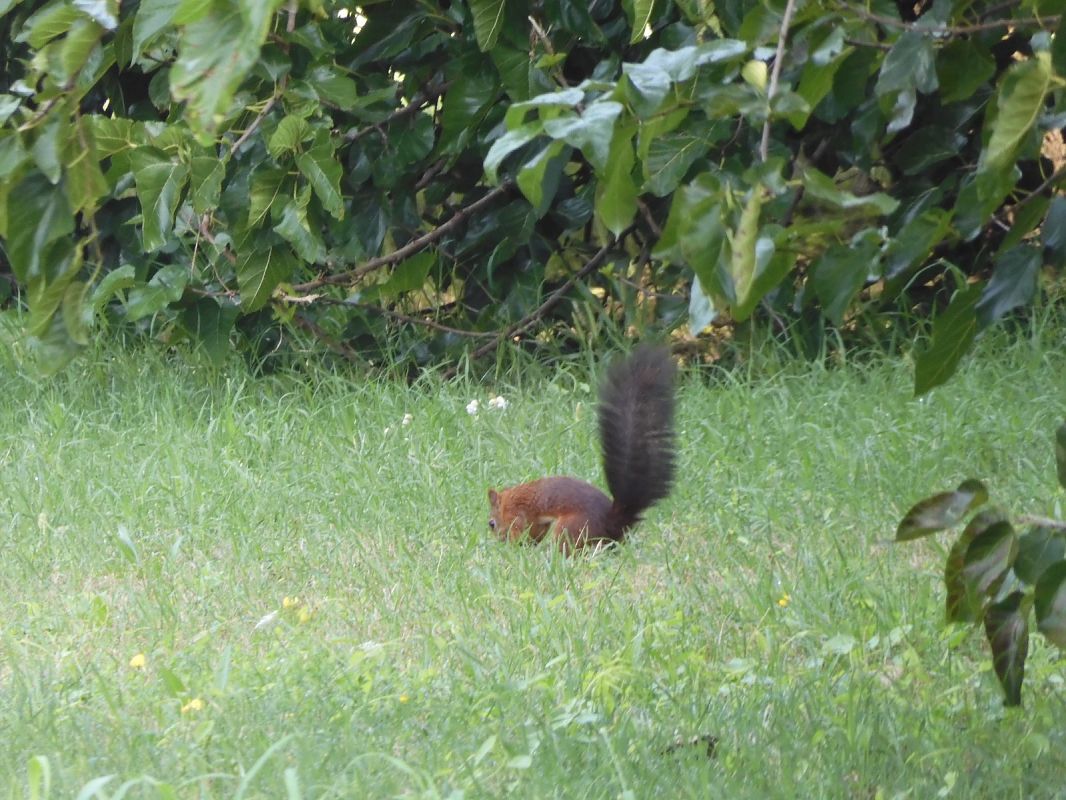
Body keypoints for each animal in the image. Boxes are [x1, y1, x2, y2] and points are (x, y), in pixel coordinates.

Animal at [487, 344, 676, 552]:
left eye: (491, 524)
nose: (498, 540)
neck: (508, 500)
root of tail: (612, 522)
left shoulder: (516, 513)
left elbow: (518, 530)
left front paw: (513, 547)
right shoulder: (536, 522)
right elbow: (535, 531)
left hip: (570, 527)